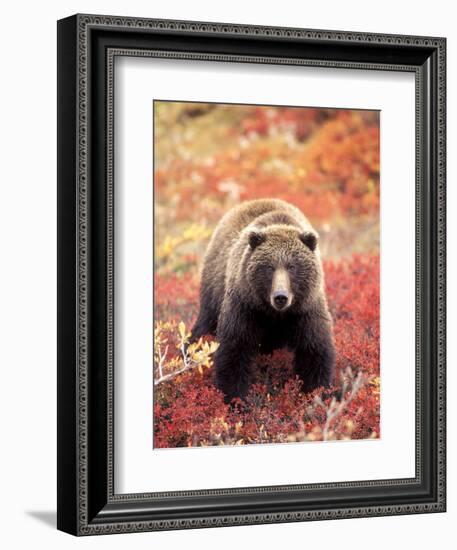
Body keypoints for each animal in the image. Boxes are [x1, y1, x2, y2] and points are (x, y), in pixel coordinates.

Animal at [190, 198, 334, 402]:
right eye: (269, 267)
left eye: (292, 266)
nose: (280, 297)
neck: (275, 314)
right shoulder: (245, 306)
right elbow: (234, 350)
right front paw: (235, 398)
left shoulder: (306, 309)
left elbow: (314, 351)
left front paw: (316, 394)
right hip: (213, 288)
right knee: (204, 325)